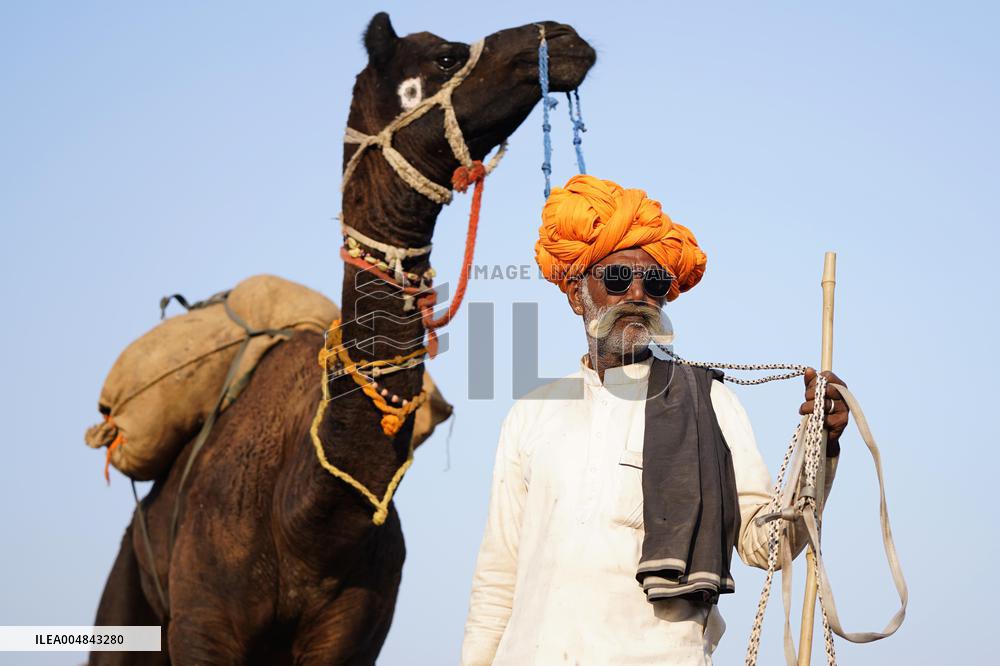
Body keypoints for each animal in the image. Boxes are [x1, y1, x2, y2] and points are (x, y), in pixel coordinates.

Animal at [90, 12, 594, 665]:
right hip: (128, 599)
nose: (563, 36)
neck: (307, 520)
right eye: (446, 56)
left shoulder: (354, 634)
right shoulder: (204, 626)